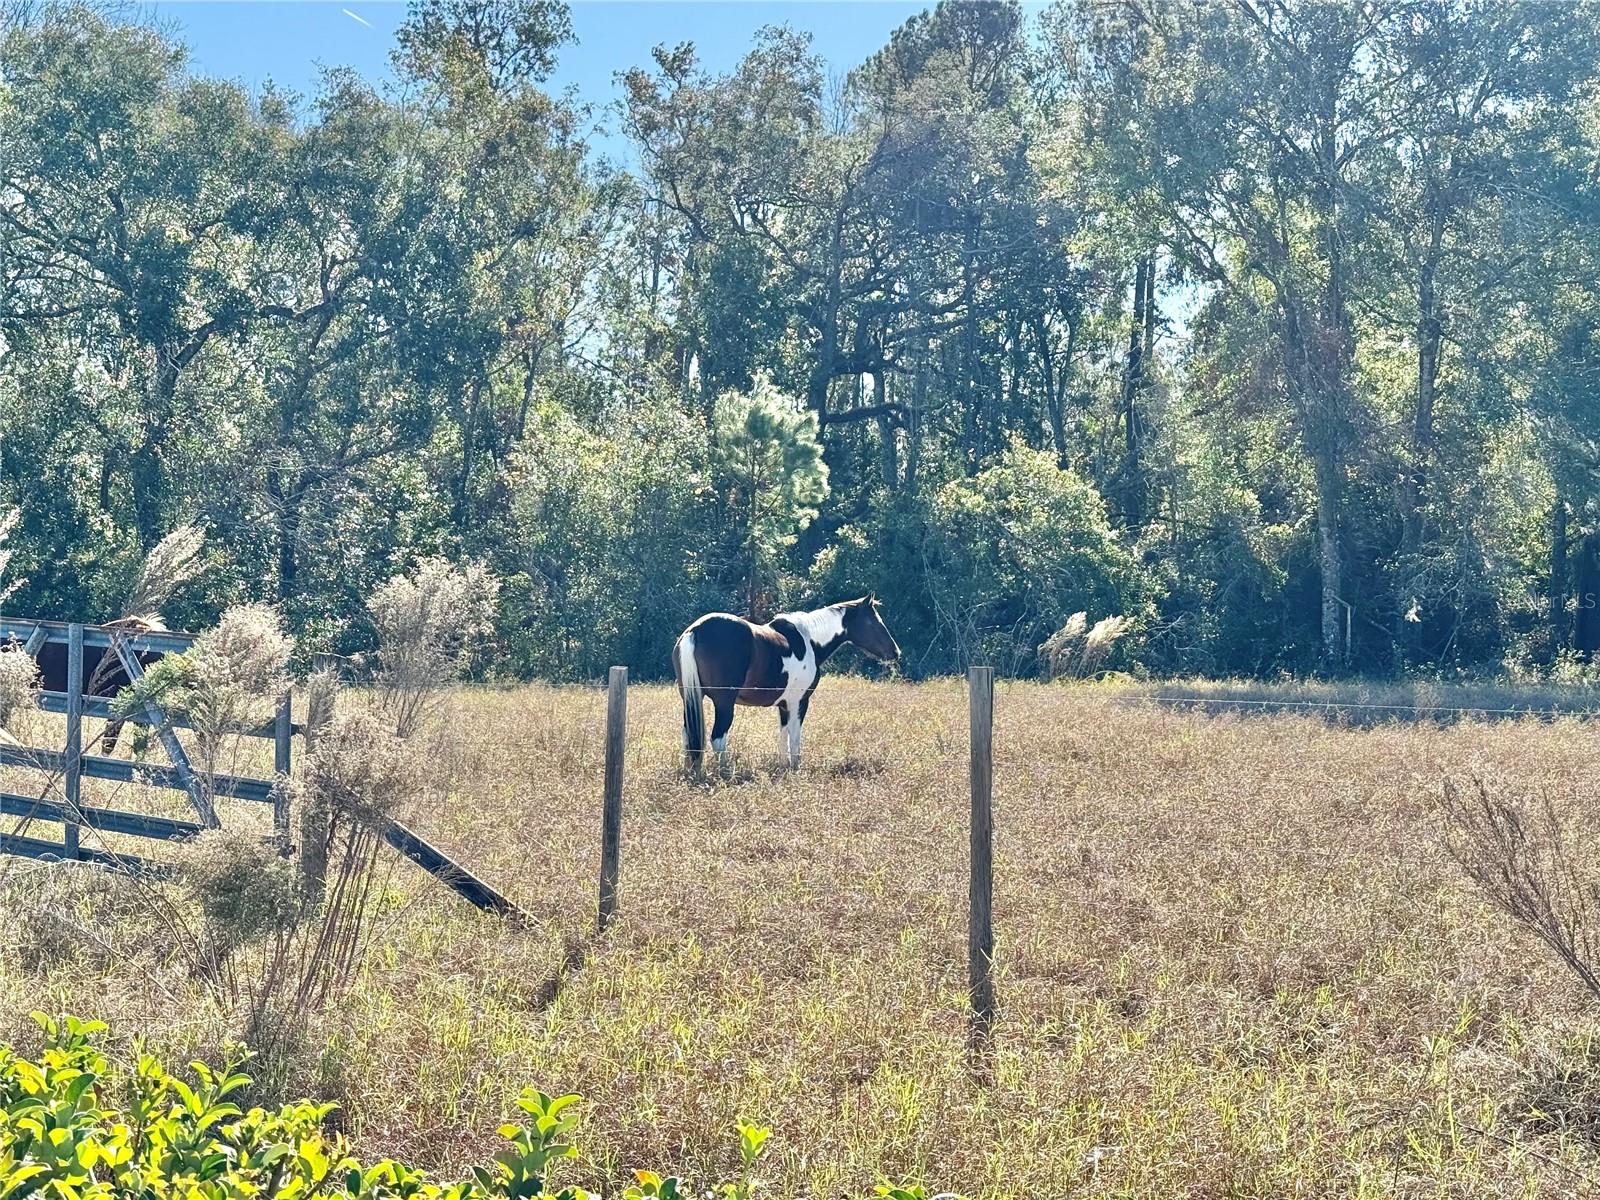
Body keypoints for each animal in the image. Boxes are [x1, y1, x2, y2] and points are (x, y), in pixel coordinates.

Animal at [672, 598, 902, 774]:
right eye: (873, 622)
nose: (895, 652)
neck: (809, 640)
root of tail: (695, 630)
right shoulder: (799, 703)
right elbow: (795, 738)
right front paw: (795, 768)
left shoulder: (783, 705)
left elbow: (783, 736)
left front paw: (782, 767)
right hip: (724, 704)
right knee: (718, 738)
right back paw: (725, 773)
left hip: (691, 698)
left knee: (688, 735)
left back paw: (691, 772)